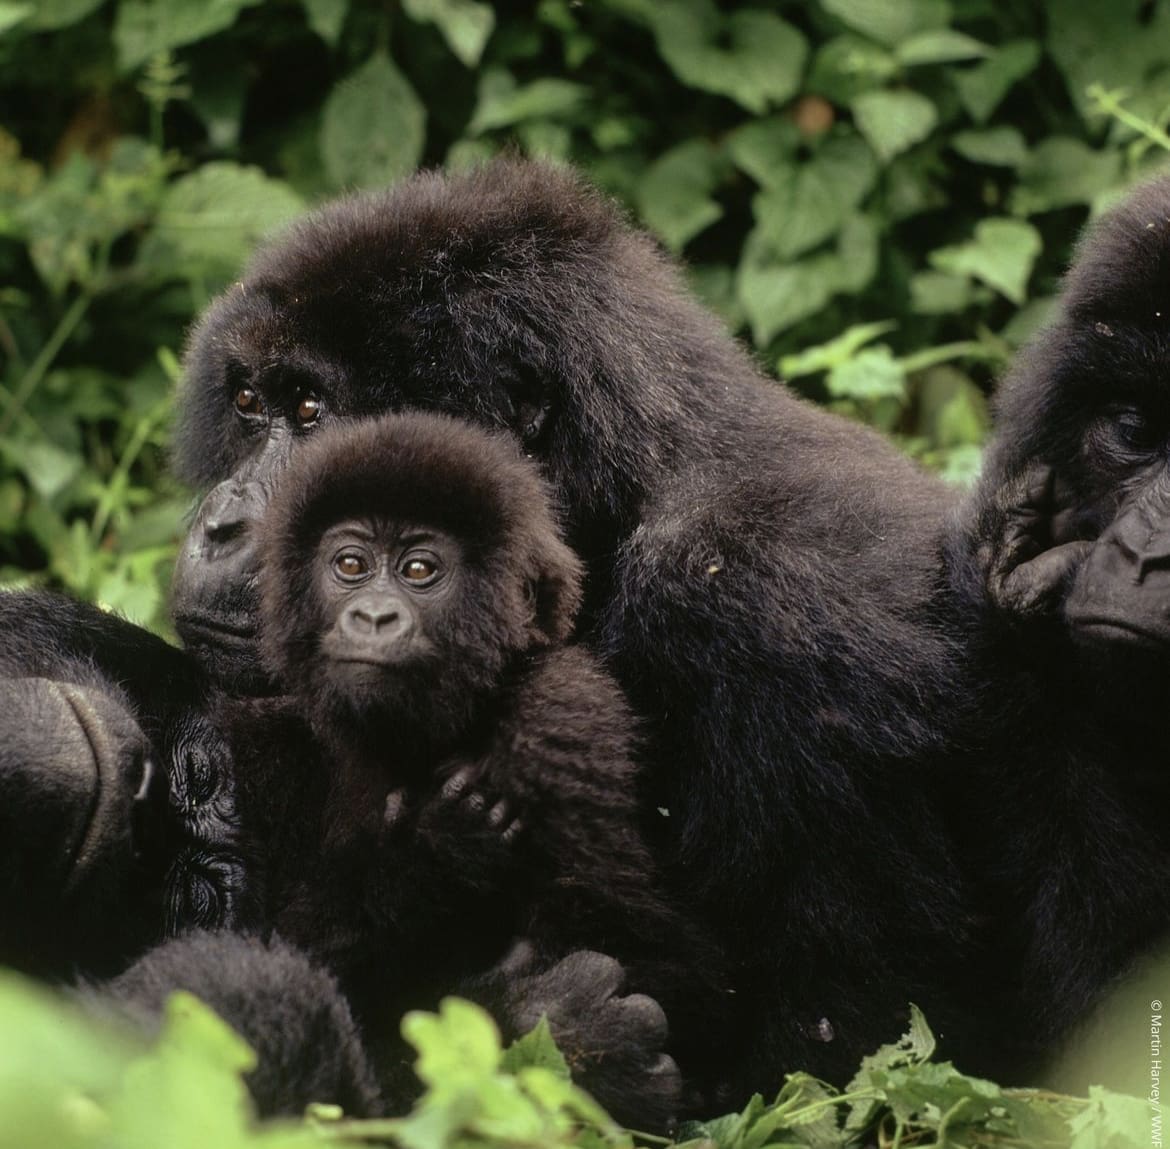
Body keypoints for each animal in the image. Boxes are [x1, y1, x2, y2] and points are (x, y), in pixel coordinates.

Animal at [249, 409, 720, 1127]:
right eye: (350, 564)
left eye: (419, 569)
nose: (373, 615)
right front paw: (430, 859)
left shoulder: (561, 715)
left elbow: (659, 958)